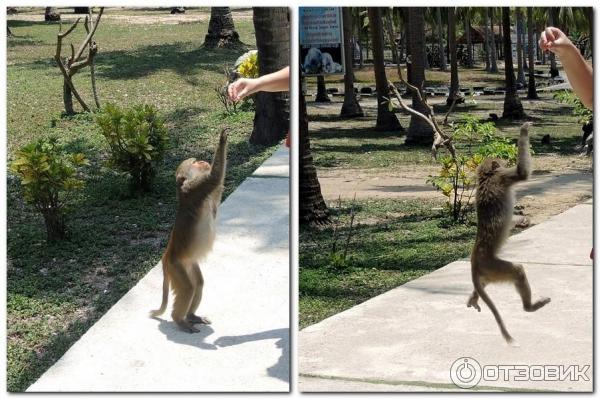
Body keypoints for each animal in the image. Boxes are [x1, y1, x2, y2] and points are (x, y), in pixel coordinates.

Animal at [151, 130, 229, 332]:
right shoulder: (195, 189)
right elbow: (214, 177)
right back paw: (179, 319)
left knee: (198, 283)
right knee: (187, 289)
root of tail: (166, 257)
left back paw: (191, 316)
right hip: (176, 266)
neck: (182, 188)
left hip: (188, 263)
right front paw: (222, 141)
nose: (201, 160)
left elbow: (215, 202)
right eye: (194, 163)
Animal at [472, 123, 552, 346]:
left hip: (488, 273)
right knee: (517, 270)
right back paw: (529, 307)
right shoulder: (504, 176)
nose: (503, 159)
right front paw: (524, 129)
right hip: (493, 266)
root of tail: (475, 262)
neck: (486, 176)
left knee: (485, 284)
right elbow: (522, 173)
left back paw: (473, 298)